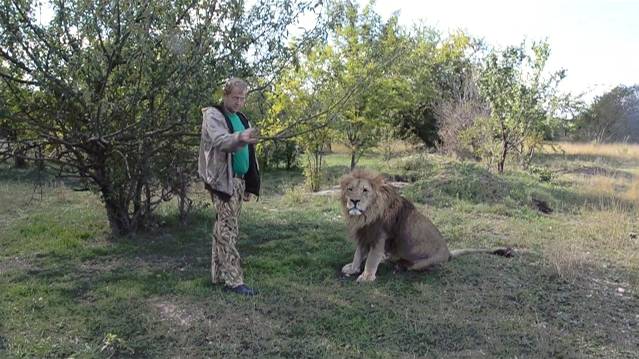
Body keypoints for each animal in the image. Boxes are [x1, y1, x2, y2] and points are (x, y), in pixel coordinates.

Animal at [340, 169, 516, 284]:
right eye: (350, 189)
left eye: (365, 190)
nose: (354, 201)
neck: (364, 216)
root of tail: (448, 253)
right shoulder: (364, 235)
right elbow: (358, 254)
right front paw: (353, 268)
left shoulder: (379, 238)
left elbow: (371, 259)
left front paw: (366, 277)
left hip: (423, 263)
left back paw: (399, 266)